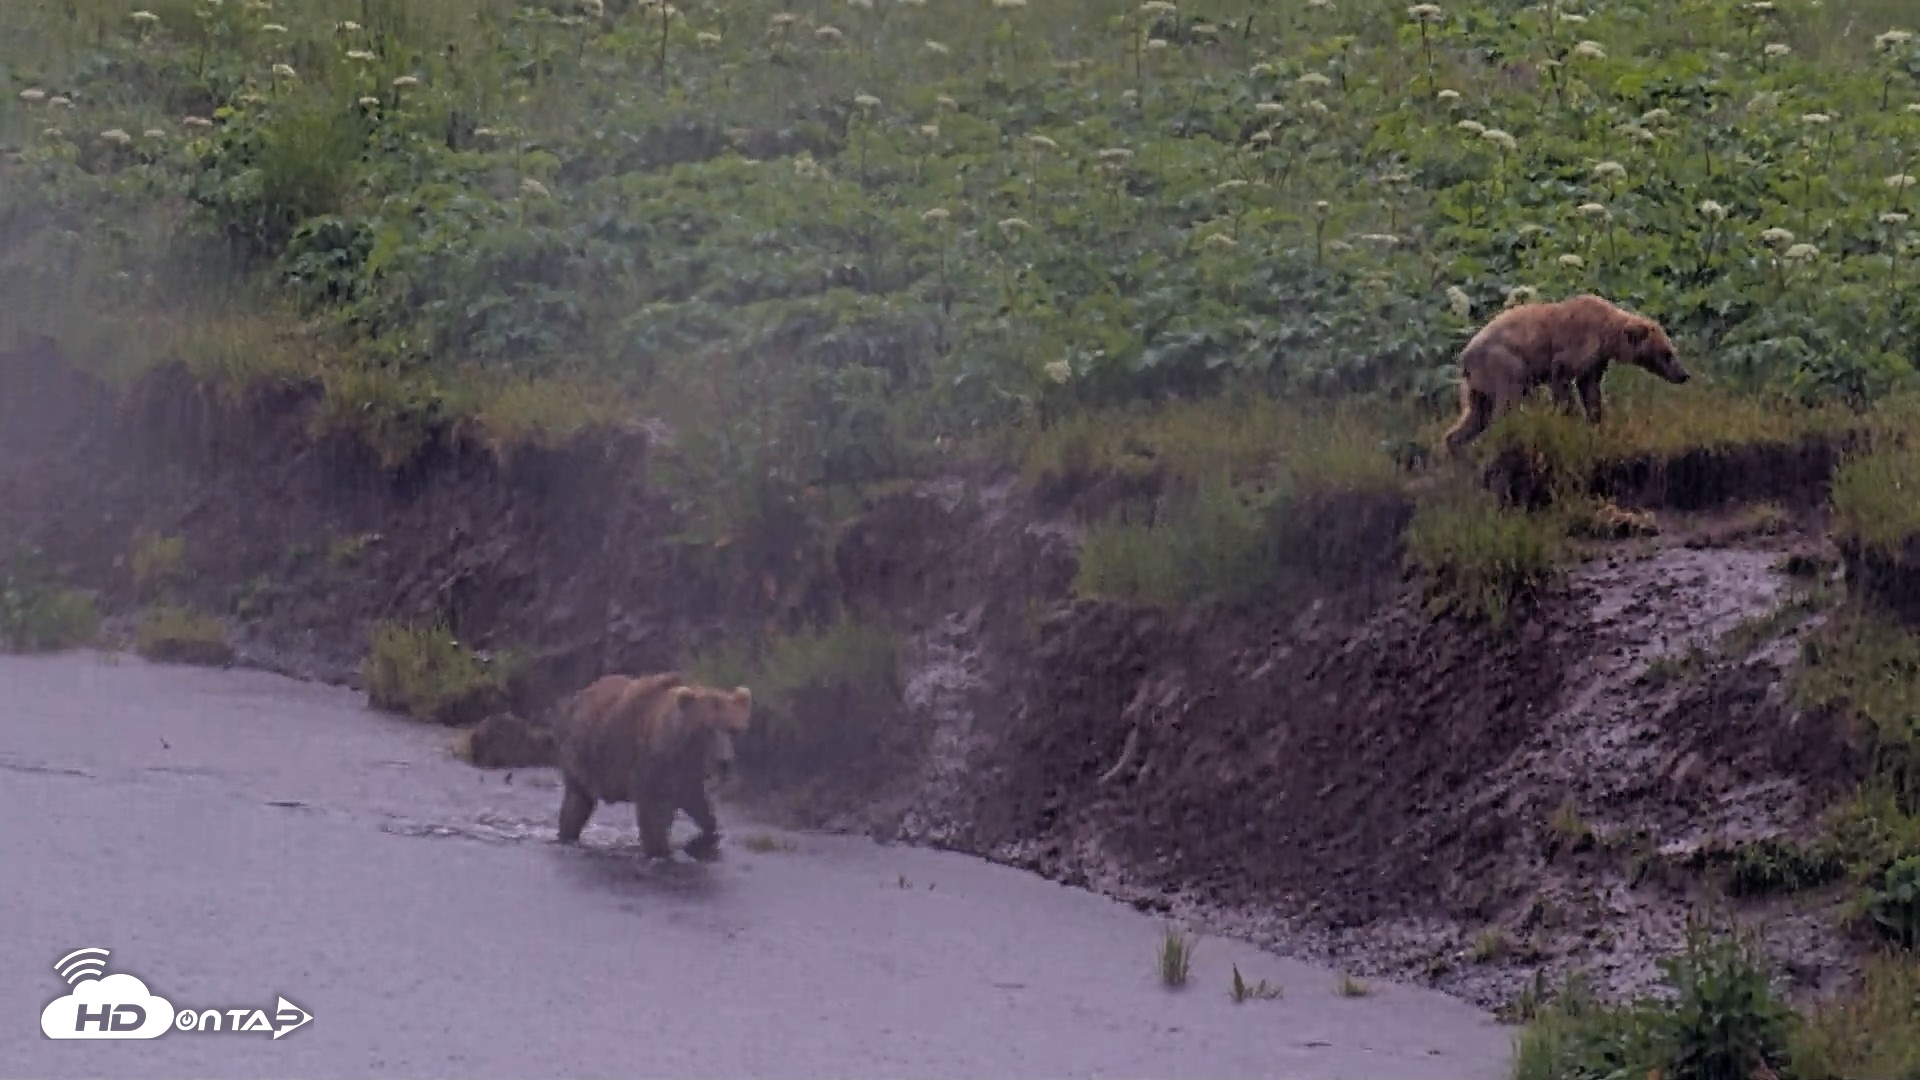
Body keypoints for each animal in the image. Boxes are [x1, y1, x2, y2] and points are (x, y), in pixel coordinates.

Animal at [548, 670, 753, 861]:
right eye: (706, 729)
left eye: (733, 729)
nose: (724, 761)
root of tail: (580, 695)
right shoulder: (651, 768)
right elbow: (652, 816)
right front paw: (660, 851)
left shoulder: (689, 778)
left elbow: (703, 811)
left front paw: (699, 843)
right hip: (583, 757)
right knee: (576, 805)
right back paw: (567, 837)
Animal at [1440, 292, 1690, 456]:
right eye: (1667, 353)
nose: (1684, 374)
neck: (1607, 334)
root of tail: (1464, 356)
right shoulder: (1577, 344)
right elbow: (1562, 377)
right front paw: (1571, 418)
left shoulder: (1596, 362)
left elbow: (1590, 390)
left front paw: (1596, 422)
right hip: (1504, 364)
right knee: (1506, 403)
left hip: (1478, 386)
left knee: (1475, 416)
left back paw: (1455, 446)